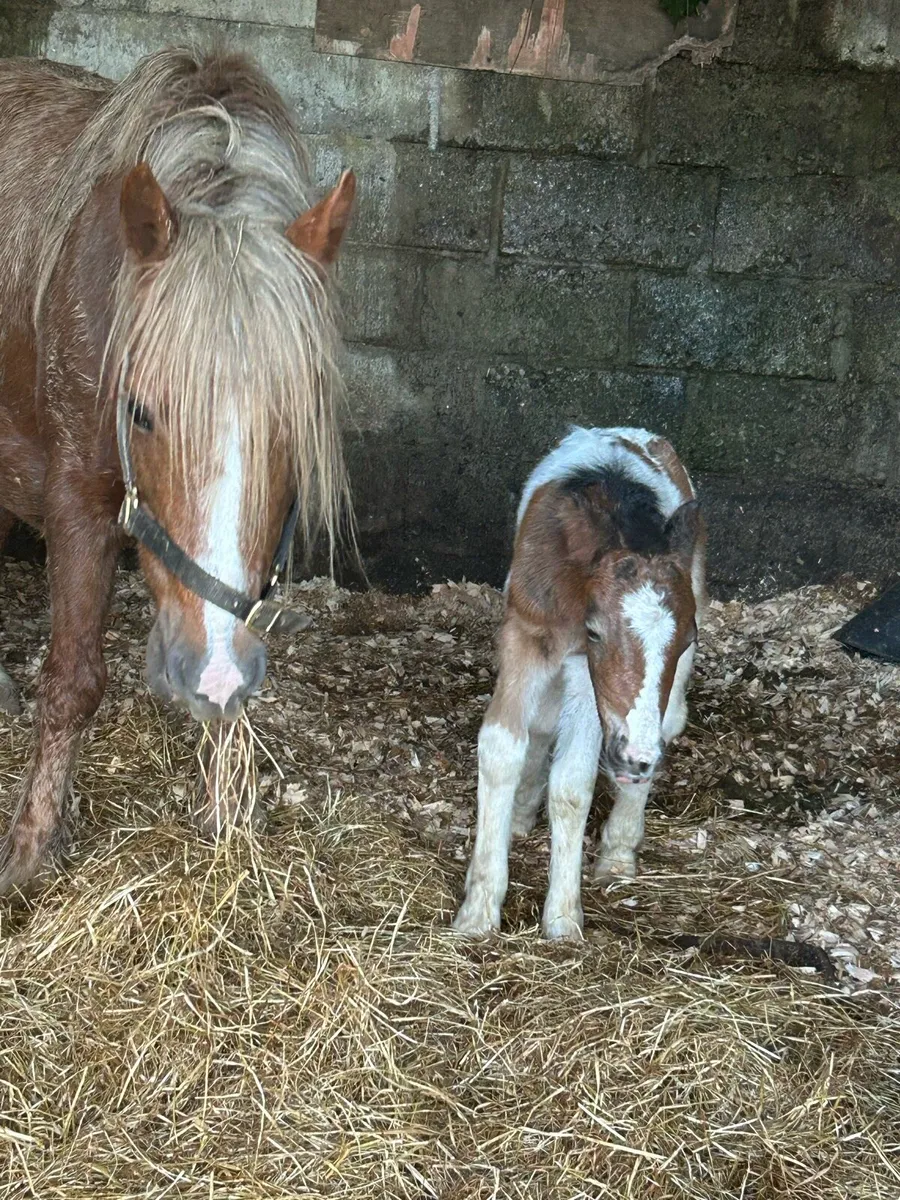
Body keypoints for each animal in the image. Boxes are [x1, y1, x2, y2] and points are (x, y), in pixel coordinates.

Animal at [0, 48, 356, 895]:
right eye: (140, 412)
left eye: (294, 421)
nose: (217, 669)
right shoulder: (77, 503)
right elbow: (72, 681)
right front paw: (29, 848)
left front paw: (225, 818)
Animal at [454, 427, 707, 940]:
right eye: (596, 632)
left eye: (689, 637)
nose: (635, 757)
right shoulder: (525, 636)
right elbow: (502, 747)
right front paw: (478, 909)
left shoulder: (587, 682)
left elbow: (571, 782)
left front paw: (563, 918)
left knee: (668, 721)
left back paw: (619, 849)